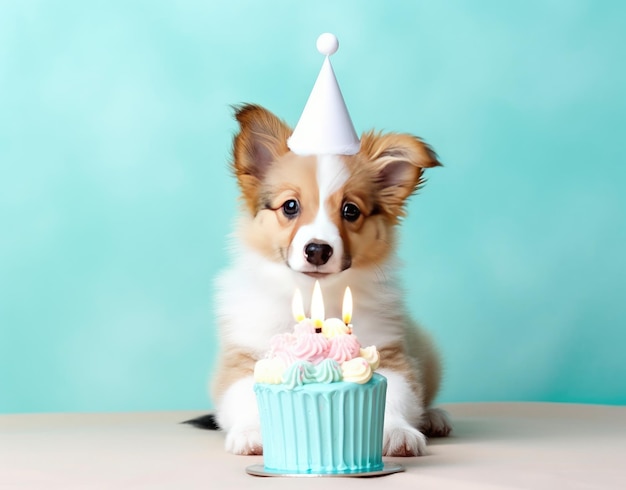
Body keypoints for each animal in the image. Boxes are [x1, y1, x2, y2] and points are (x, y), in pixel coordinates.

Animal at [210, 102, 448, 456]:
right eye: (290, 206)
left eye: (350, 211)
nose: (318, 250)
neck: (313, 292)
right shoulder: (243, 355)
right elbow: (243, 396)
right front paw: (251, 434)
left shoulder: (391, 353)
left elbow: (394, 396)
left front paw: (398, 433)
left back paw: (434, 417)